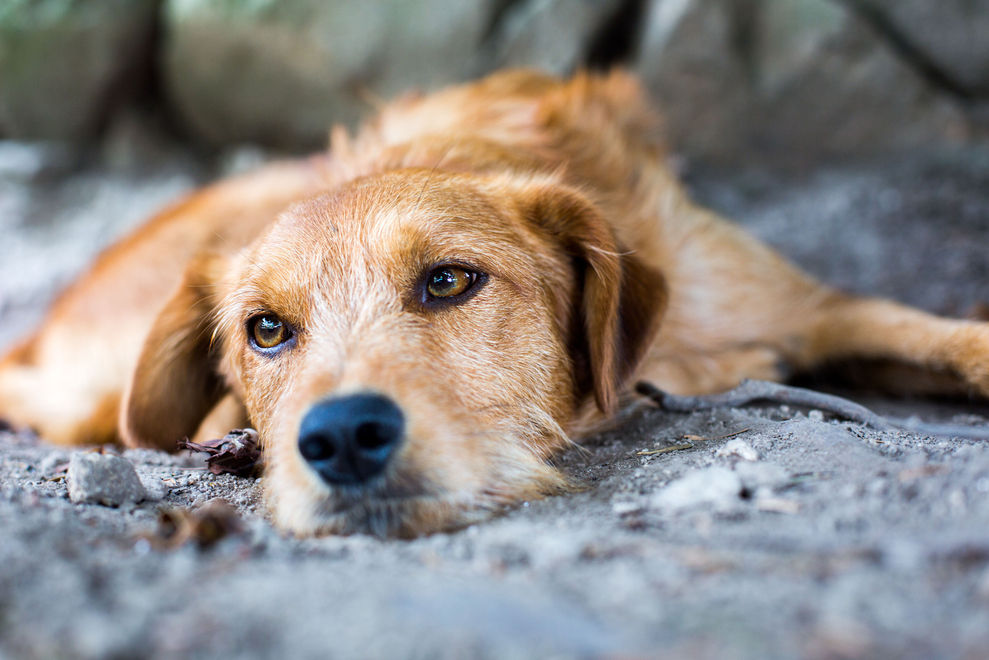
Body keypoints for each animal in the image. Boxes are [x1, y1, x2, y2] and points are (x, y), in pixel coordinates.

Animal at [1, 71, 988, 536]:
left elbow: (939, 335)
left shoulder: (809, 306)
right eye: (267, 330)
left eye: (448, 280)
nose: (342, 439)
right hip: (94, 394)